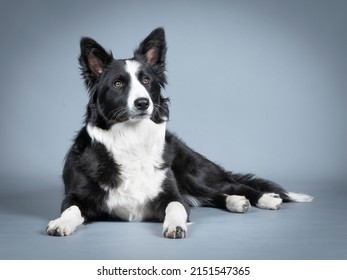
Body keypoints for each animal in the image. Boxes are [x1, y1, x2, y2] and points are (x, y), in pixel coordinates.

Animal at [47, 27, 312, 238]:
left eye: (146, 81)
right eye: (118, 84)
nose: (143, 103)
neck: (132, 140)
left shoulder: (172, 194)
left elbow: (176, 206)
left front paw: (175, 226)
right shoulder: (76, 195)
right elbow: (71, 209)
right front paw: (61, 223)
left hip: (193, 173)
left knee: (232, 185)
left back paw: (265, 198)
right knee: (217, 194)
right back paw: (236, 202)